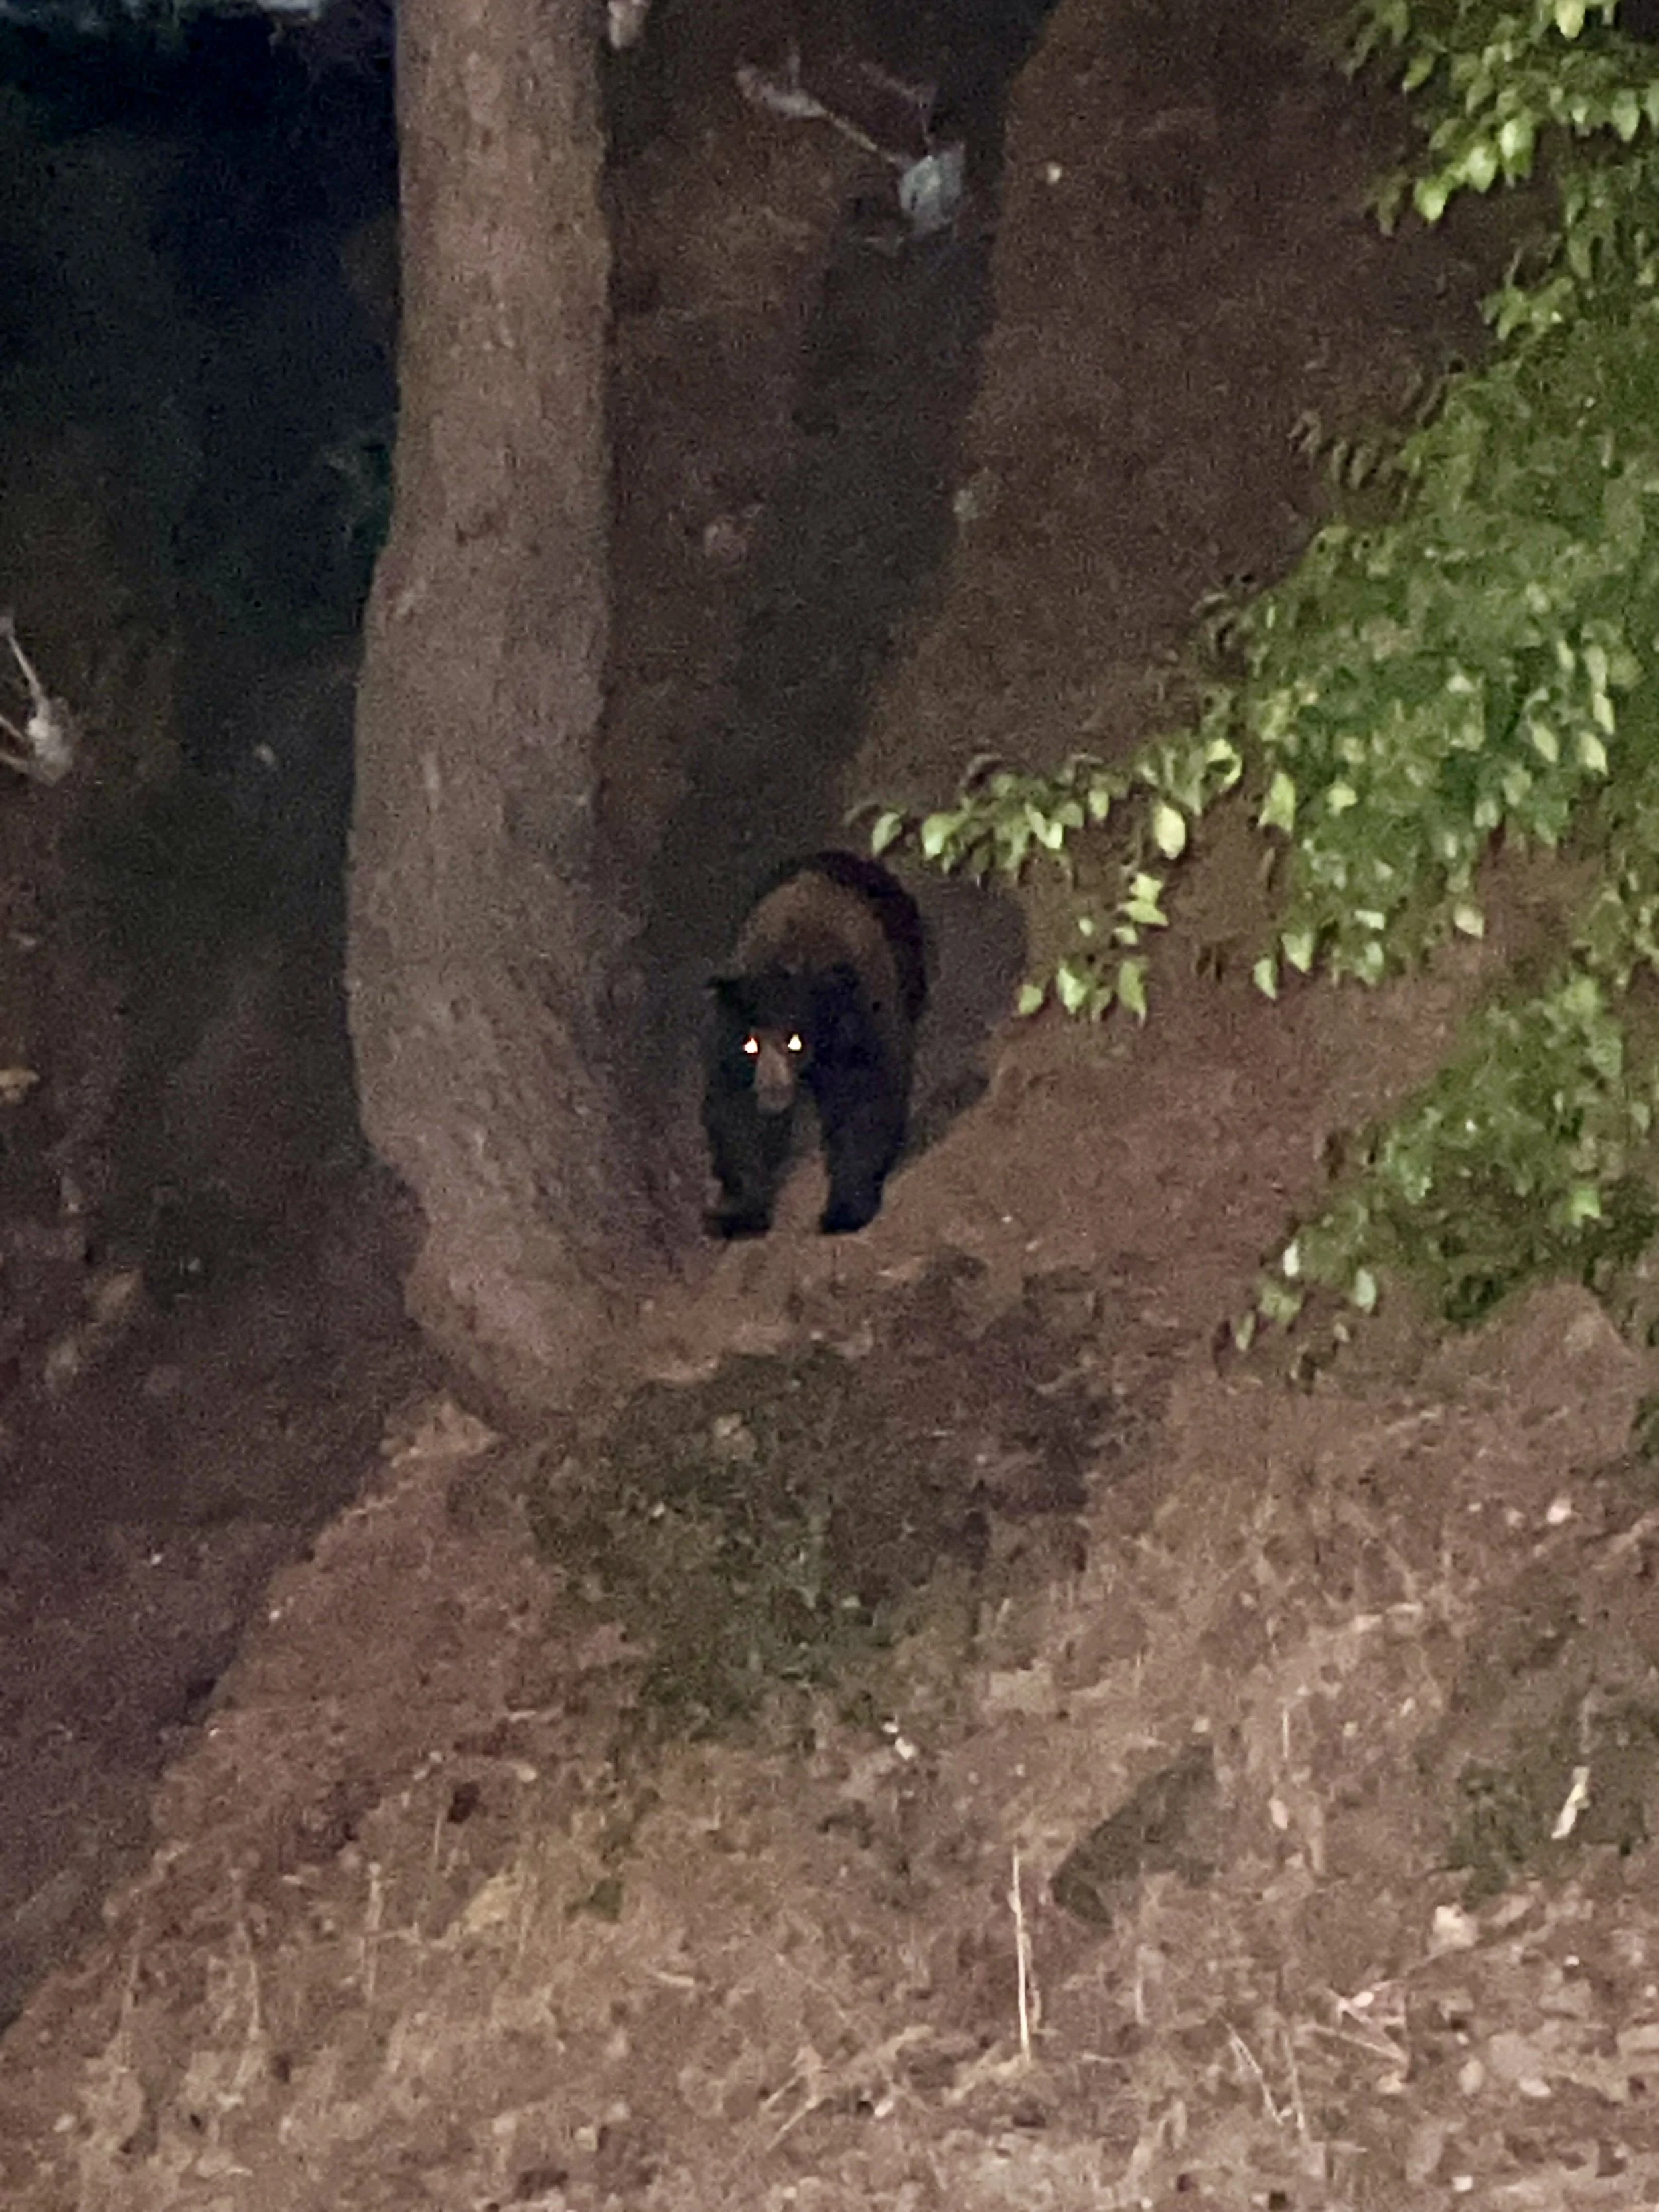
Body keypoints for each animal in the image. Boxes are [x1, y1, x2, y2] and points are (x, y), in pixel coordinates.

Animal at [703, 850, 928, 1239]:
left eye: (795, 1041)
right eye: (750, 1044)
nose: (772, 1091)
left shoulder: (861, 1021)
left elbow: (865, 1101)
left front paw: (845, 1210)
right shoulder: (729, 1040)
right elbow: (735, 1113)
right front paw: (738, 1213)